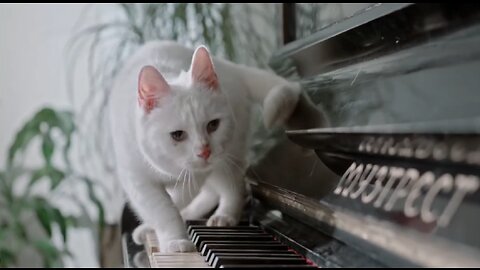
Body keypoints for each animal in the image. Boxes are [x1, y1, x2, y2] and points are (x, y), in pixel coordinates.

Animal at [108, 40, 312, 253]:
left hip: (229, 155)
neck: (168, 170)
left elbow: (174, 203)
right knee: (211, 192)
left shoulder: (195, 175)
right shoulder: (138, 181)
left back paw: (224, 215)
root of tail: (228, 66)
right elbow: (163, 209)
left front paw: (172, 237)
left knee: (232, 186)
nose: (204, 151)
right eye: (177, 135)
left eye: (213, 125)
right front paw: (173, 238)